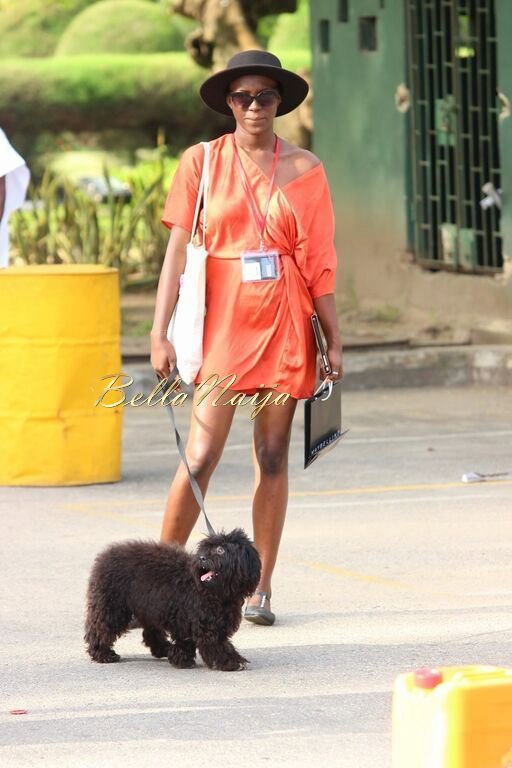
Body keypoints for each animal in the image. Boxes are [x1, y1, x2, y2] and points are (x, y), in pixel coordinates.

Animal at [85, 528, 260, 672]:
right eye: (205, 549)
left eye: (220, 550)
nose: (202, 558)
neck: (214, 593)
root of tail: (105, 556)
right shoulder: (205, 624)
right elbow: (216, 645)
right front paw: (230, 662)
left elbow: (189, 641)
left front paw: (180, 658)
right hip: (112, 606)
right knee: (100, 629)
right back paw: (102, 653)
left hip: (147, 607)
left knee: (151, 632)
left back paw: (163, 648)